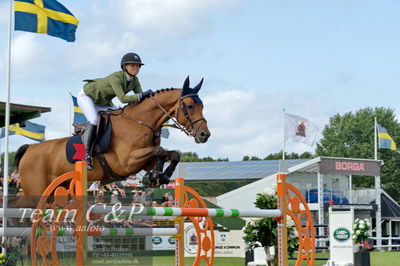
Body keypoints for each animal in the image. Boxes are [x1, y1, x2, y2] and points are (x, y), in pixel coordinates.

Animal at [14, 77, 211, 208]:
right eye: (190, 106)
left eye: (202, 106)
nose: (204, 135)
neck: (140, 122)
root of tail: (30, 149)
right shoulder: (127, 162)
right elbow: (161, 150)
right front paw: (155, 177)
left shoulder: (145, 161)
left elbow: (172, 153)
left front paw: (157, 177)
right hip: (35, 191)